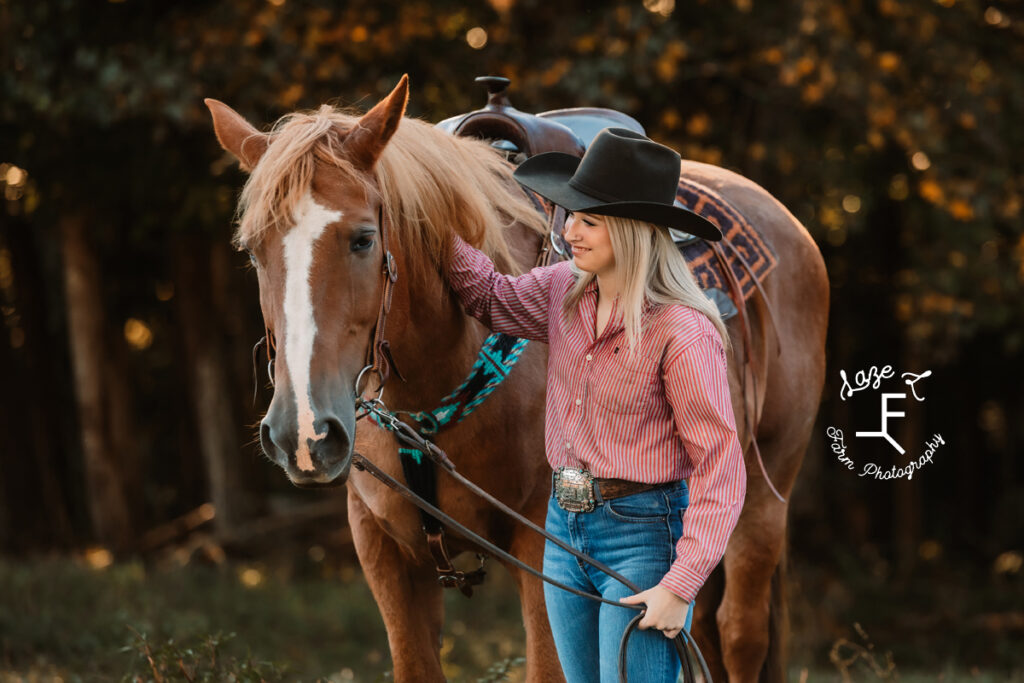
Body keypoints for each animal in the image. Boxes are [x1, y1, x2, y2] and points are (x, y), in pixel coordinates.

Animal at [205, 76, 831, 683]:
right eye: (252, 250)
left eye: (363, 238)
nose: (304, 435)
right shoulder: (383, 550)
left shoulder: (542, 548)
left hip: (759, 497)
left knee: (739, 635)